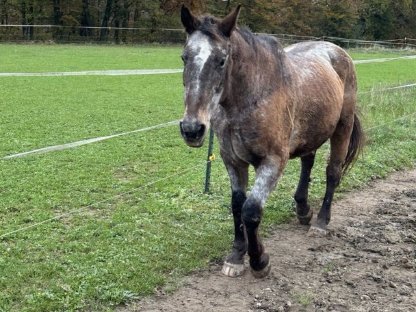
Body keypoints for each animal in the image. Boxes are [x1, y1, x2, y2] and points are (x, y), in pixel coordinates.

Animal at [179, 4, 364, 278]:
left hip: (343, 127)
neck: (251, 98)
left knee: (332, 173)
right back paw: (303, 210)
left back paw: (320, 222)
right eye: (184, 57)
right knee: (308, 162)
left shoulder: (273, 161)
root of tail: (338, 51)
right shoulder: (232, 160)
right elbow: (237, 205)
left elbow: (251, 210)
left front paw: (259, 260)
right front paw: (236, 255)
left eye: (221, 60)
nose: (192, 129)